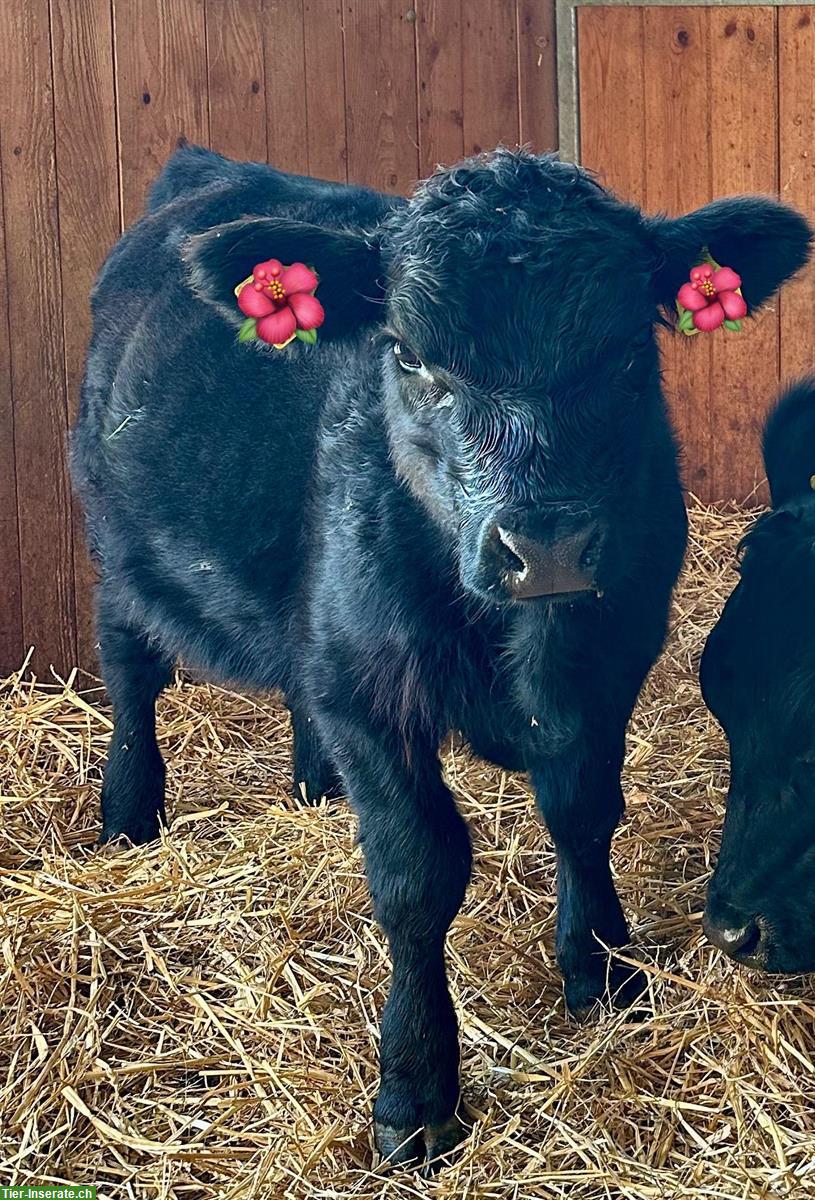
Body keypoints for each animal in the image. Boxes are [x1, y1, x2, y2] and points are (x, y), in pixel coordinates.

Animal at [71, 143, 811, 1170]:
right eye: (411, 355)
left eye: (628, 350)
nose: (546, 547)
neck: (522, 649)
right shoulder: (370, 696)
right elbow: (418, 877)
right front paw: (415, 1089)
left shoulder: (607, 667)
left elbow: (583, 815)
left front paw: (601, 972)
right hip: (121, 546)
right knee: (132, 668)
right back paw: (129, 814)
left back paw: (313, 786)